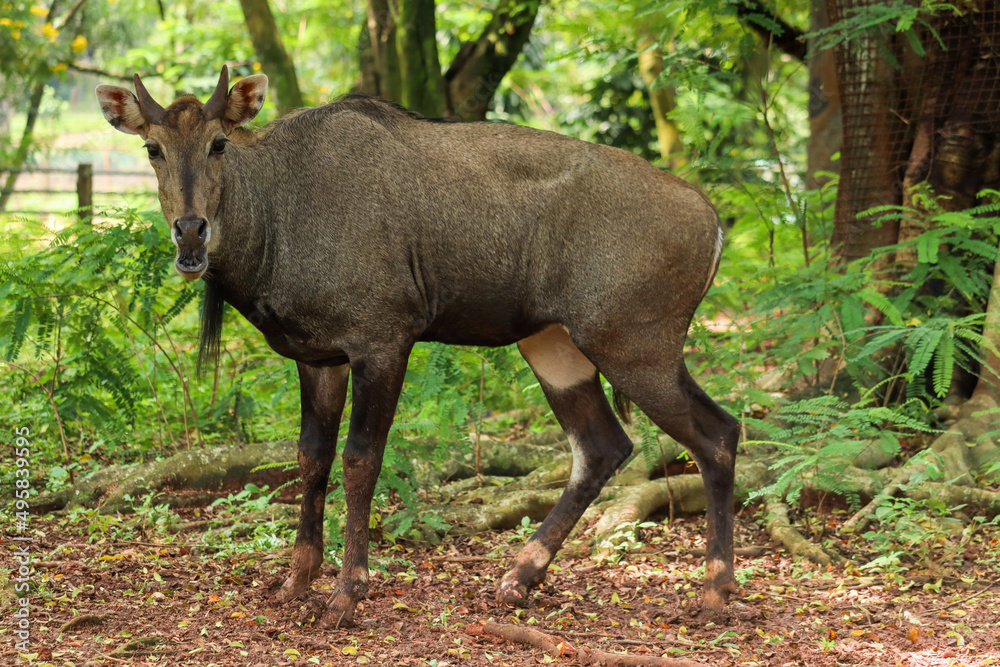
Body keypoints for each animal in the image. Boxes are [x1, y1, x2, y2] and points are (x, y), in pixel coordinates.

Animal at [97, 66, 740, 628]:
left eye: (218, 143)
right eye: (153, 148)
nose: (190, 232)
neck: (279, 221)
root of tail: (712, 222)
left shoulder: (383, 340)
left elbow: (360, 460)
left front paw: (346, 595)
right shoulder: (317, 357)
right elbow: (311, 457)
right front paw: (295, 582)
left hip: (635, 344)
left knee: (717, 433)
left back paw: (714, 591)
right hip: (553, 342)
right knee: (603, 446)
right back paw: (517, 578)